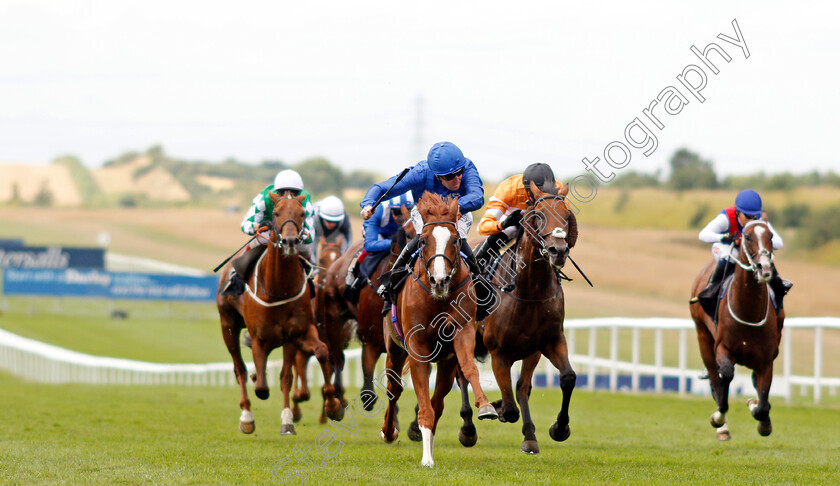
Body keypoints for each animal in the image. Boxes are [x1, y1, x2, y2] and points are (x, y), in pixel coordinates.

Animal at [220, 192, 344, 434]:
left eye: (302, 213)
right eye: (276, 213)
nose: (290, 242)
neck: (279, 288)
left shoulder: (298, 333)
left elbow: (318, 354)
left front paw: (333, 406)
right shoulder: (258, 338)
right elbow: (261, 387)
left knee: (284, 374)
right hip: (228, 324)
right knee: (240, 368)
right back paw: (246, 416)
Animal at [290, 234, 352, 422]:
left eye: (339, 257)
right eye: (322, 259)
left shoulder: (334, 351)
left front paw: (334, 407)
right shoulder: (302, 351)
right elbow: (303, 391)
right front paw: (297, 401)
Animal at [378, 193, 496, 468]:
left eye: (455, 240)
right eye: (422, 241)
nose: (439, 280)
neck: (437, 299)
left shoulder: (462, 334)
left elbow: (469, 369)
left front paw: (485, 406)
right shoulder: (417, 348)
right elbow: (423, 405)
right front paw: (426, 459)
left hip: (445, 363)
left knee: (438, 403)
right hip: (394, 349)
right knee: (394, 389)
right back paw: (389, 432)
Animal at [480, 180, 576, 454]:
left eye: (567, 215)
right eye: (538, 215)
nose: (558, 250)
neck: (529, 292)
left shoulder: (549, 341)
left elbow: (567, 378)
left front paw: (559, 428)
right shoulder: (498, 353)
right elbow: (510, 408)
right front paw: (499, 408)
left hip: (531, 352)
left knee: (523, 388)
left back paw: (530, 436)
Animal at [692, 220, 784, 440]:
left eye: (770, 236)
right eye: (748, 237)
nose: (764, 267)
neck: (749, 311)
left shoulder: (766, 360)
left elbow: (762, 402)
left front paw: (760, 415)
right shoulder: (722, 348)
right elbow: (725, 375)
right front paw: (719, 417)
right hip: (703, 336)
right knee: (715, 377)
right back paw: (722, 425)